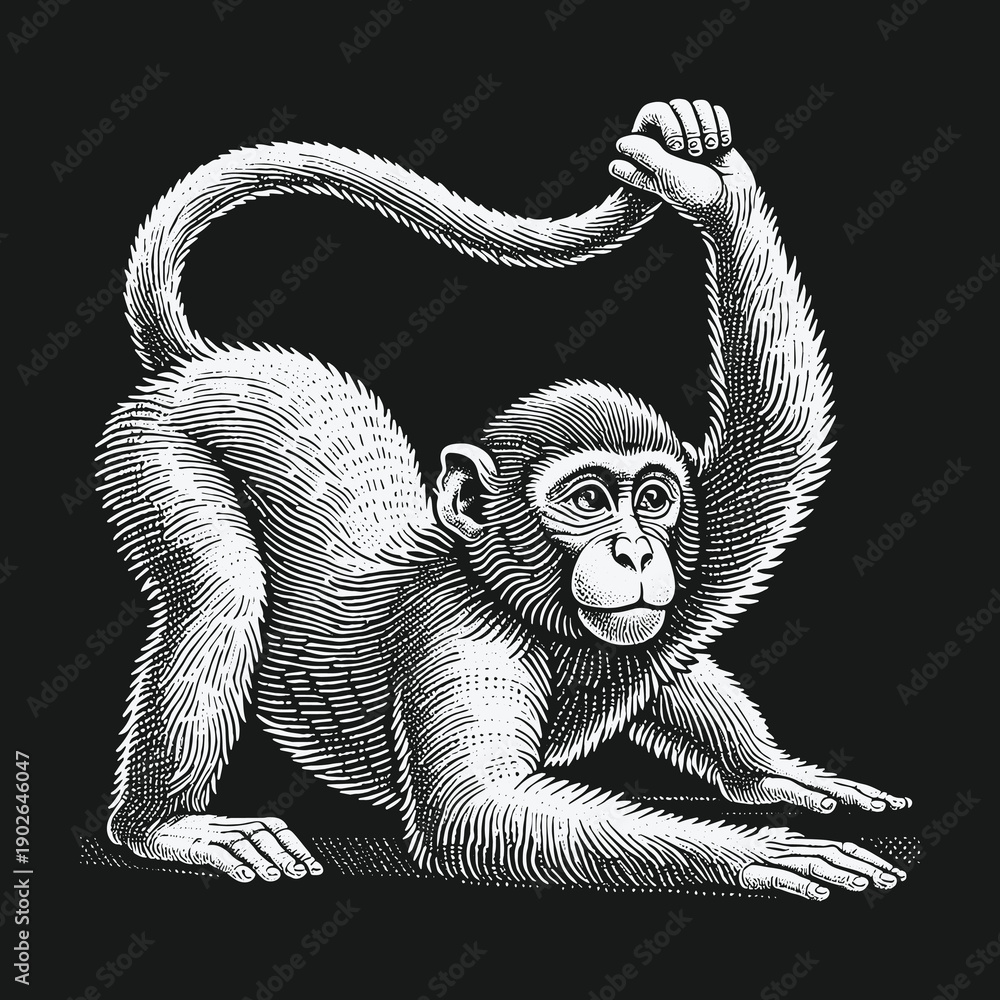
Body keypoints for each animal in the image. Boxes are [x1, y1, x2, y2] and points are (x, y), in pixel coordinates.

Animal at [97, 98, 911, 899]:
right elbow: (475, 812)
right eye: (587, 501)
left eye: (653, 498)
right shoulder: (460, 636)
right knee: (224, 590)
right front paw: (763, 854)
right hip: (152, 446)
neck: (522, 603)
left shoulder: (681, 561)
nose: (636, 552)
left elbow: (761, 472)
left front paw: (703, 179)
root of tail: (204, 364)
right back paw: (162, 826)